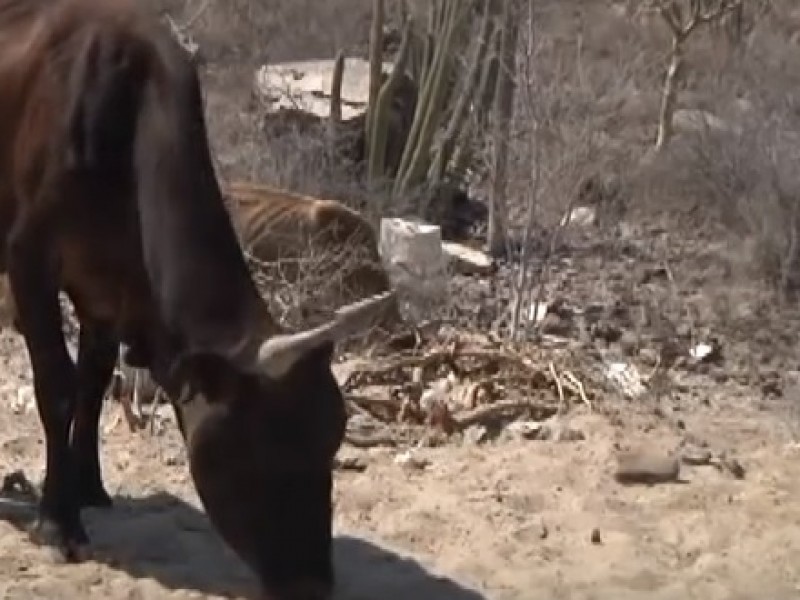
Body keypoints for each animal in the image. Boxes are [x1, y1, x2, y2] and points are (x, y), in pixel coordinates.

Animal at [0, 2, 392, 596]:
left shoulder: (105, 287)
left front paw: (88, 487)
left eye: (332, 440)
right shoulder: (31, 261)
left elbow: (93, 383)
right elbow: (59, 389)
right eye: (263, 448)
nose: (311, 582)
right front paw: (58, 519)